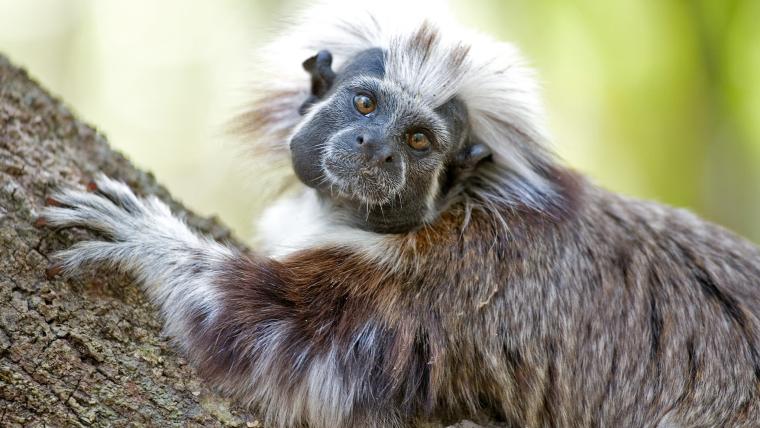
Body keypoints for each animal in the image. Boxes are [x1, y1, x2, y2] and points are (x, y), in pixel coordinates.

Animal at [37, 3, 760, 428]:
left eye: (417, 141)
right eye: (364, 104)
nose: (375, 147)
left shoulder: (453, 279)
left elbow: (273, 338)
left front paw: (149, 240)